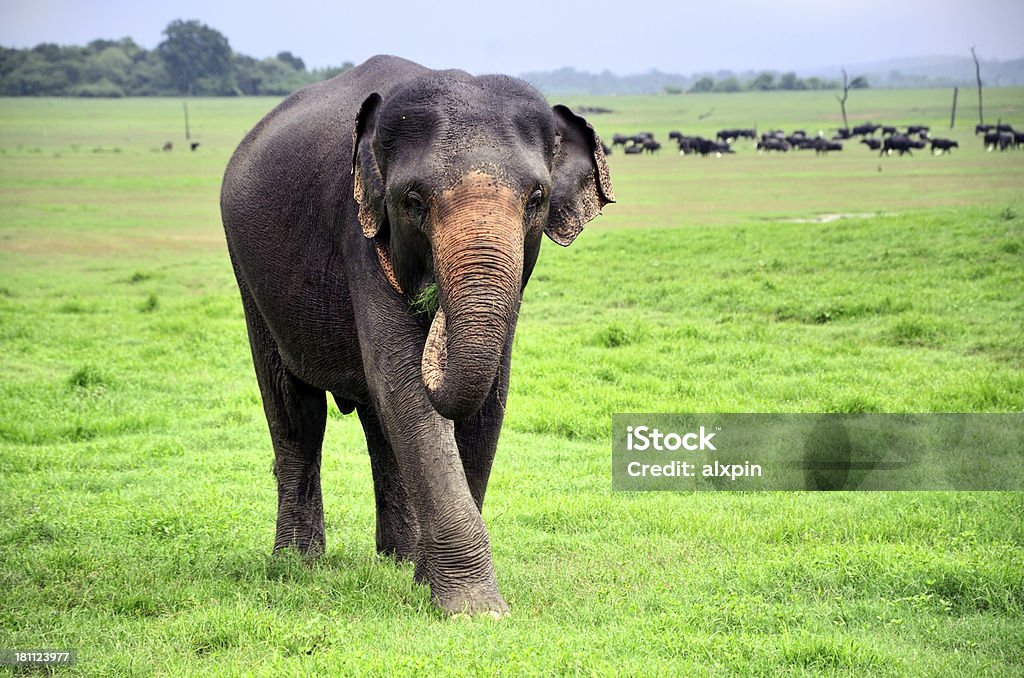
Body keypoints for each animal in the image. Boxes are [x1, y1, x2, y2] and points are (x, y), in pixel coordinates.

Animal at [219, 54, 610, 614]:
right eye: (413, 200)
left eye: (536, 197)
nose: (433, 306)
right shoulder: (359, 235)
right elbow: (404, 388)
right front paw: (474, 610)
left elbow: (486, 400)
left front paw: (429, 585)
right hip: (250, 279)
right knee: (296, 413)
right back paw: (296, 563)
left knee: (375, 425)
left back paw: (396, 560)